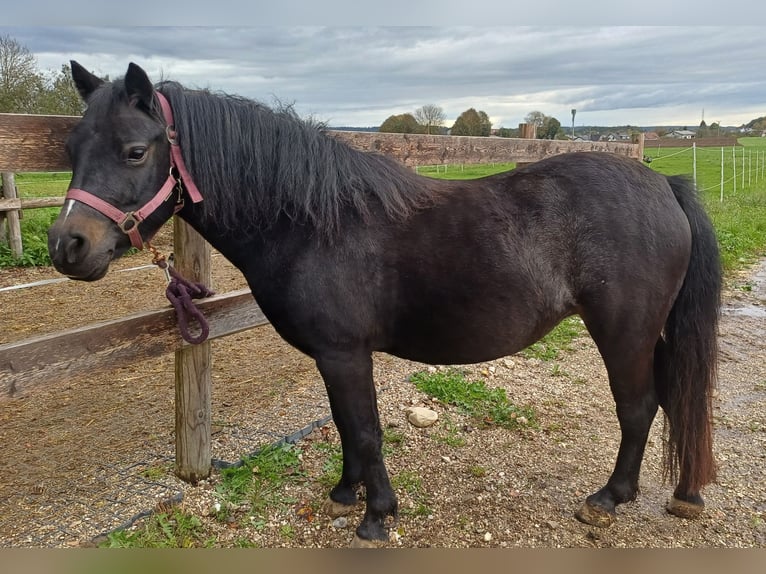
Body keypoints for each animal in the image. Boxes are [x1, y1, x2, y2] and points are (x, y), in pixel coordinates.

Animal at [46, 63, 720, 548]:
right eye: (72, 148)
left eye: (135, 151)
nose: (67, 246)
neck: (311, 223)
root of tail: (664, 185)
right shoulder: (332, 357)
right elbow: (346, 426)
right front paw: (346, 494)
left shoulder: (345, 353)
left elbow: (366, 429)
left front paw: (376, 517)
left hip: (624, 332)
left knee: (640, 407)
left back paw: (609, 499)